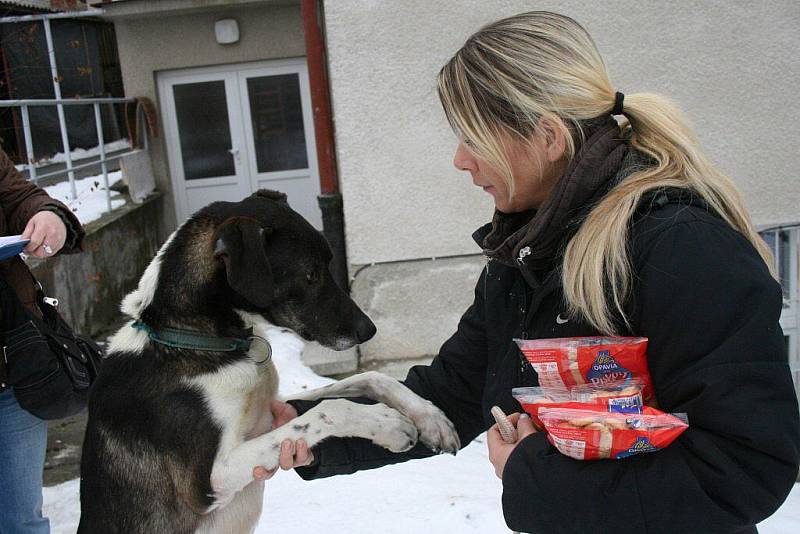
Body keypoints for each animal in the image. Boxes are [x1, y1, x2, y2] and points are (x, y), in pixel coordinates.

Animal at [80, 193, 460, 534]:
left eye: (329, 262)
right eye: (310, 274)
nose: (369, 330)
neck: (194, 339)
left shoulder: (271, 411)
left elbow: (369, 378)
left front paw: (430, 418)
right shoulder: (209, 481)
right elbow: (329, 410)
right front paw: (388, 424)